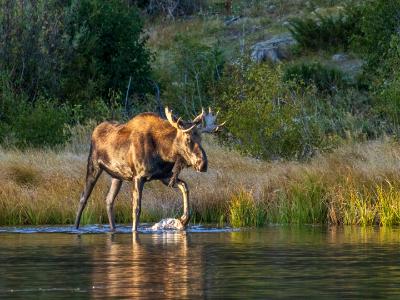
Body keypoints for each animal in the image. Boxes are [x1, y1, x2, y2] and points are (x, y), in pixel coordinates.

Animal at [74, 106, 225, 231]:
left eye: (201, 139)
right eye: (188, 139)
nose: (203, 164)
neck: (164, 152)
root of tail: (95, 129)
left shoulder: (164, 176)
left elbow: (185, 186)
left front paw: (183, 220)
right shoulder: (138, 177)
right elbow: (136, 209)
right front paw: (134, 231)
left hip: (117, 176)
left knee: (109, 200)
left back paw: (113, 229)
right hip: (93, 165)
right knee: (83, 198)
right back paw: (76, 227)